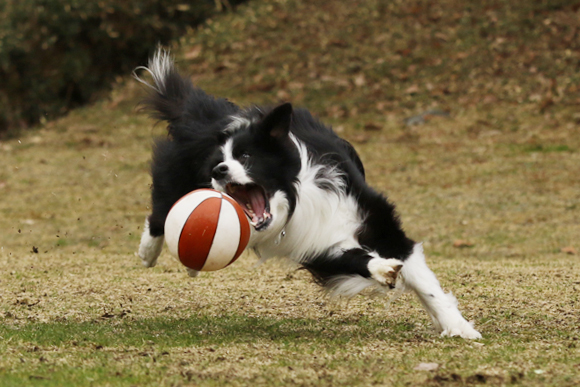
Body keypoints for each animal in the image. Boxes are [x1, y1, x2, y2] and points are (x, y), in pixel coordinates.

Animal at [135, 50, 480, 340]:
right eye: (215, 163)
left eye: (246, 157)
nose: (219, 171)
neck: (297, 196)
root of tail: (207, 117)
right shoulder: (316, 246)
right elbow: (354, 259)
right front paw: (382, 269)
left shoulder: (372, 222)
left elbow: (422, 281)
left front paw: (457, 326)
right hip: (177, 177)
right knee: (162, 210)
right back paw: (149, 252)